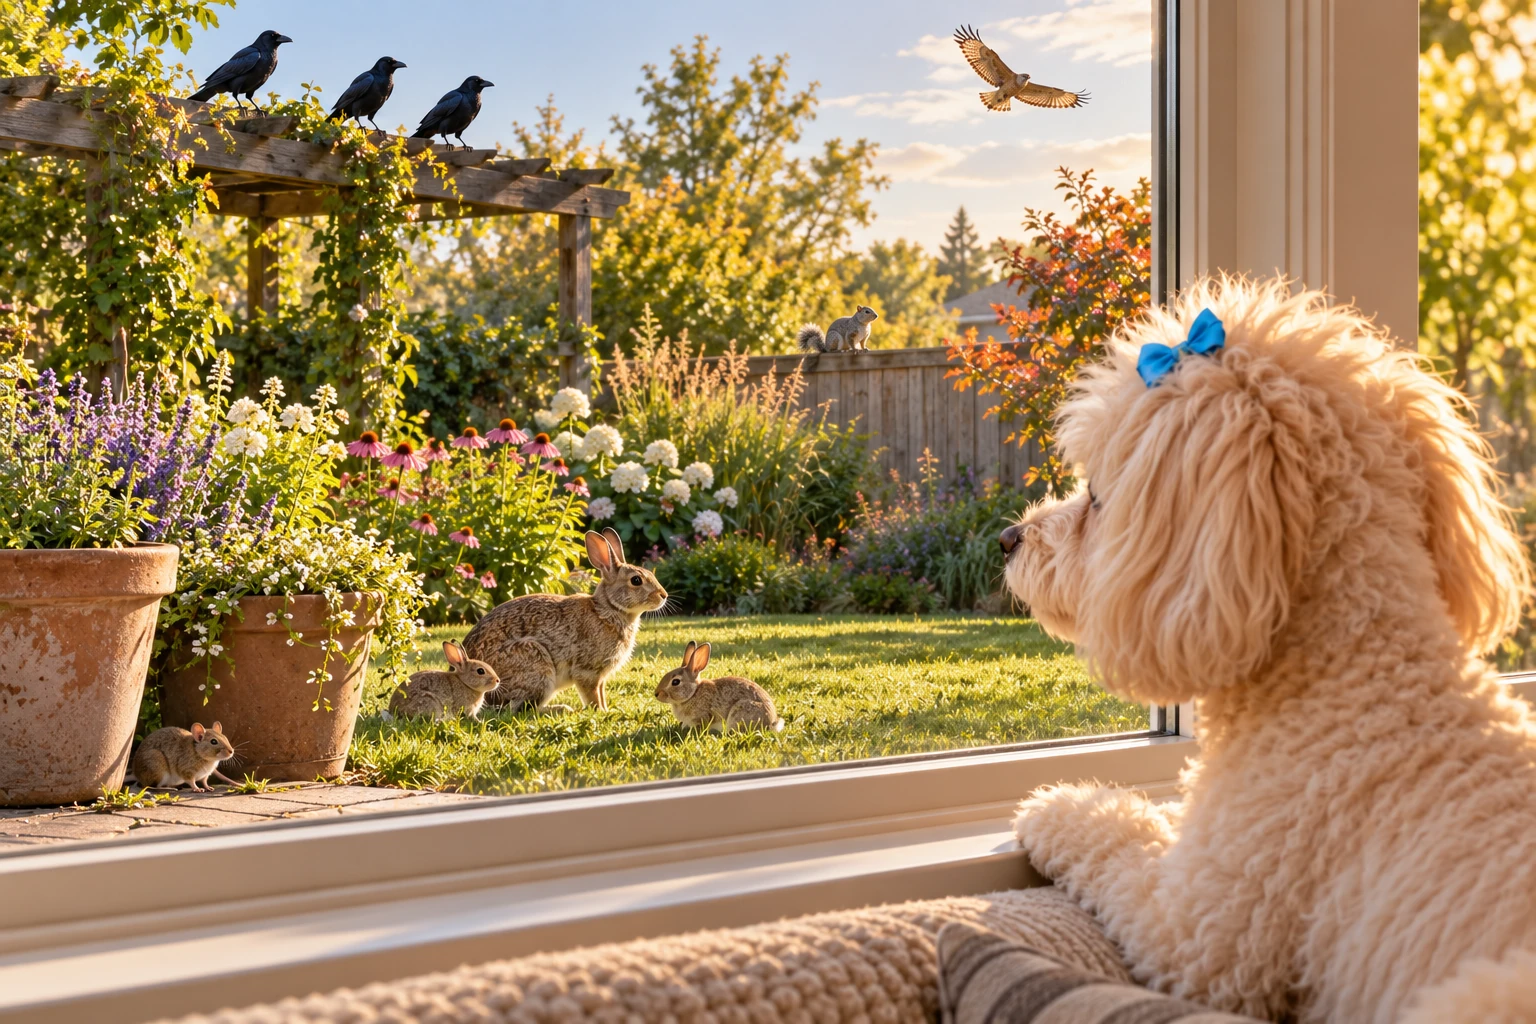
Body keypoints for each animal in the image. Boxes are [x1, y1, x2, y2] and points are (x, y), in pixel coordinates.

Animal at [463, 529, 668, 712]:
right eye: (636, 580)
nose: (663, 595)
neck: (608, 609)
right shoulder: (588, 671)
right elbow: (592, 694)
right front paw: (601, 712)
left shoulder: (601, 676)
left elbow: (601, 693)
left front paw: (606, 709)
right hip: (536, 664)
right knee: (520, 708)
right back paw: (562, 709)